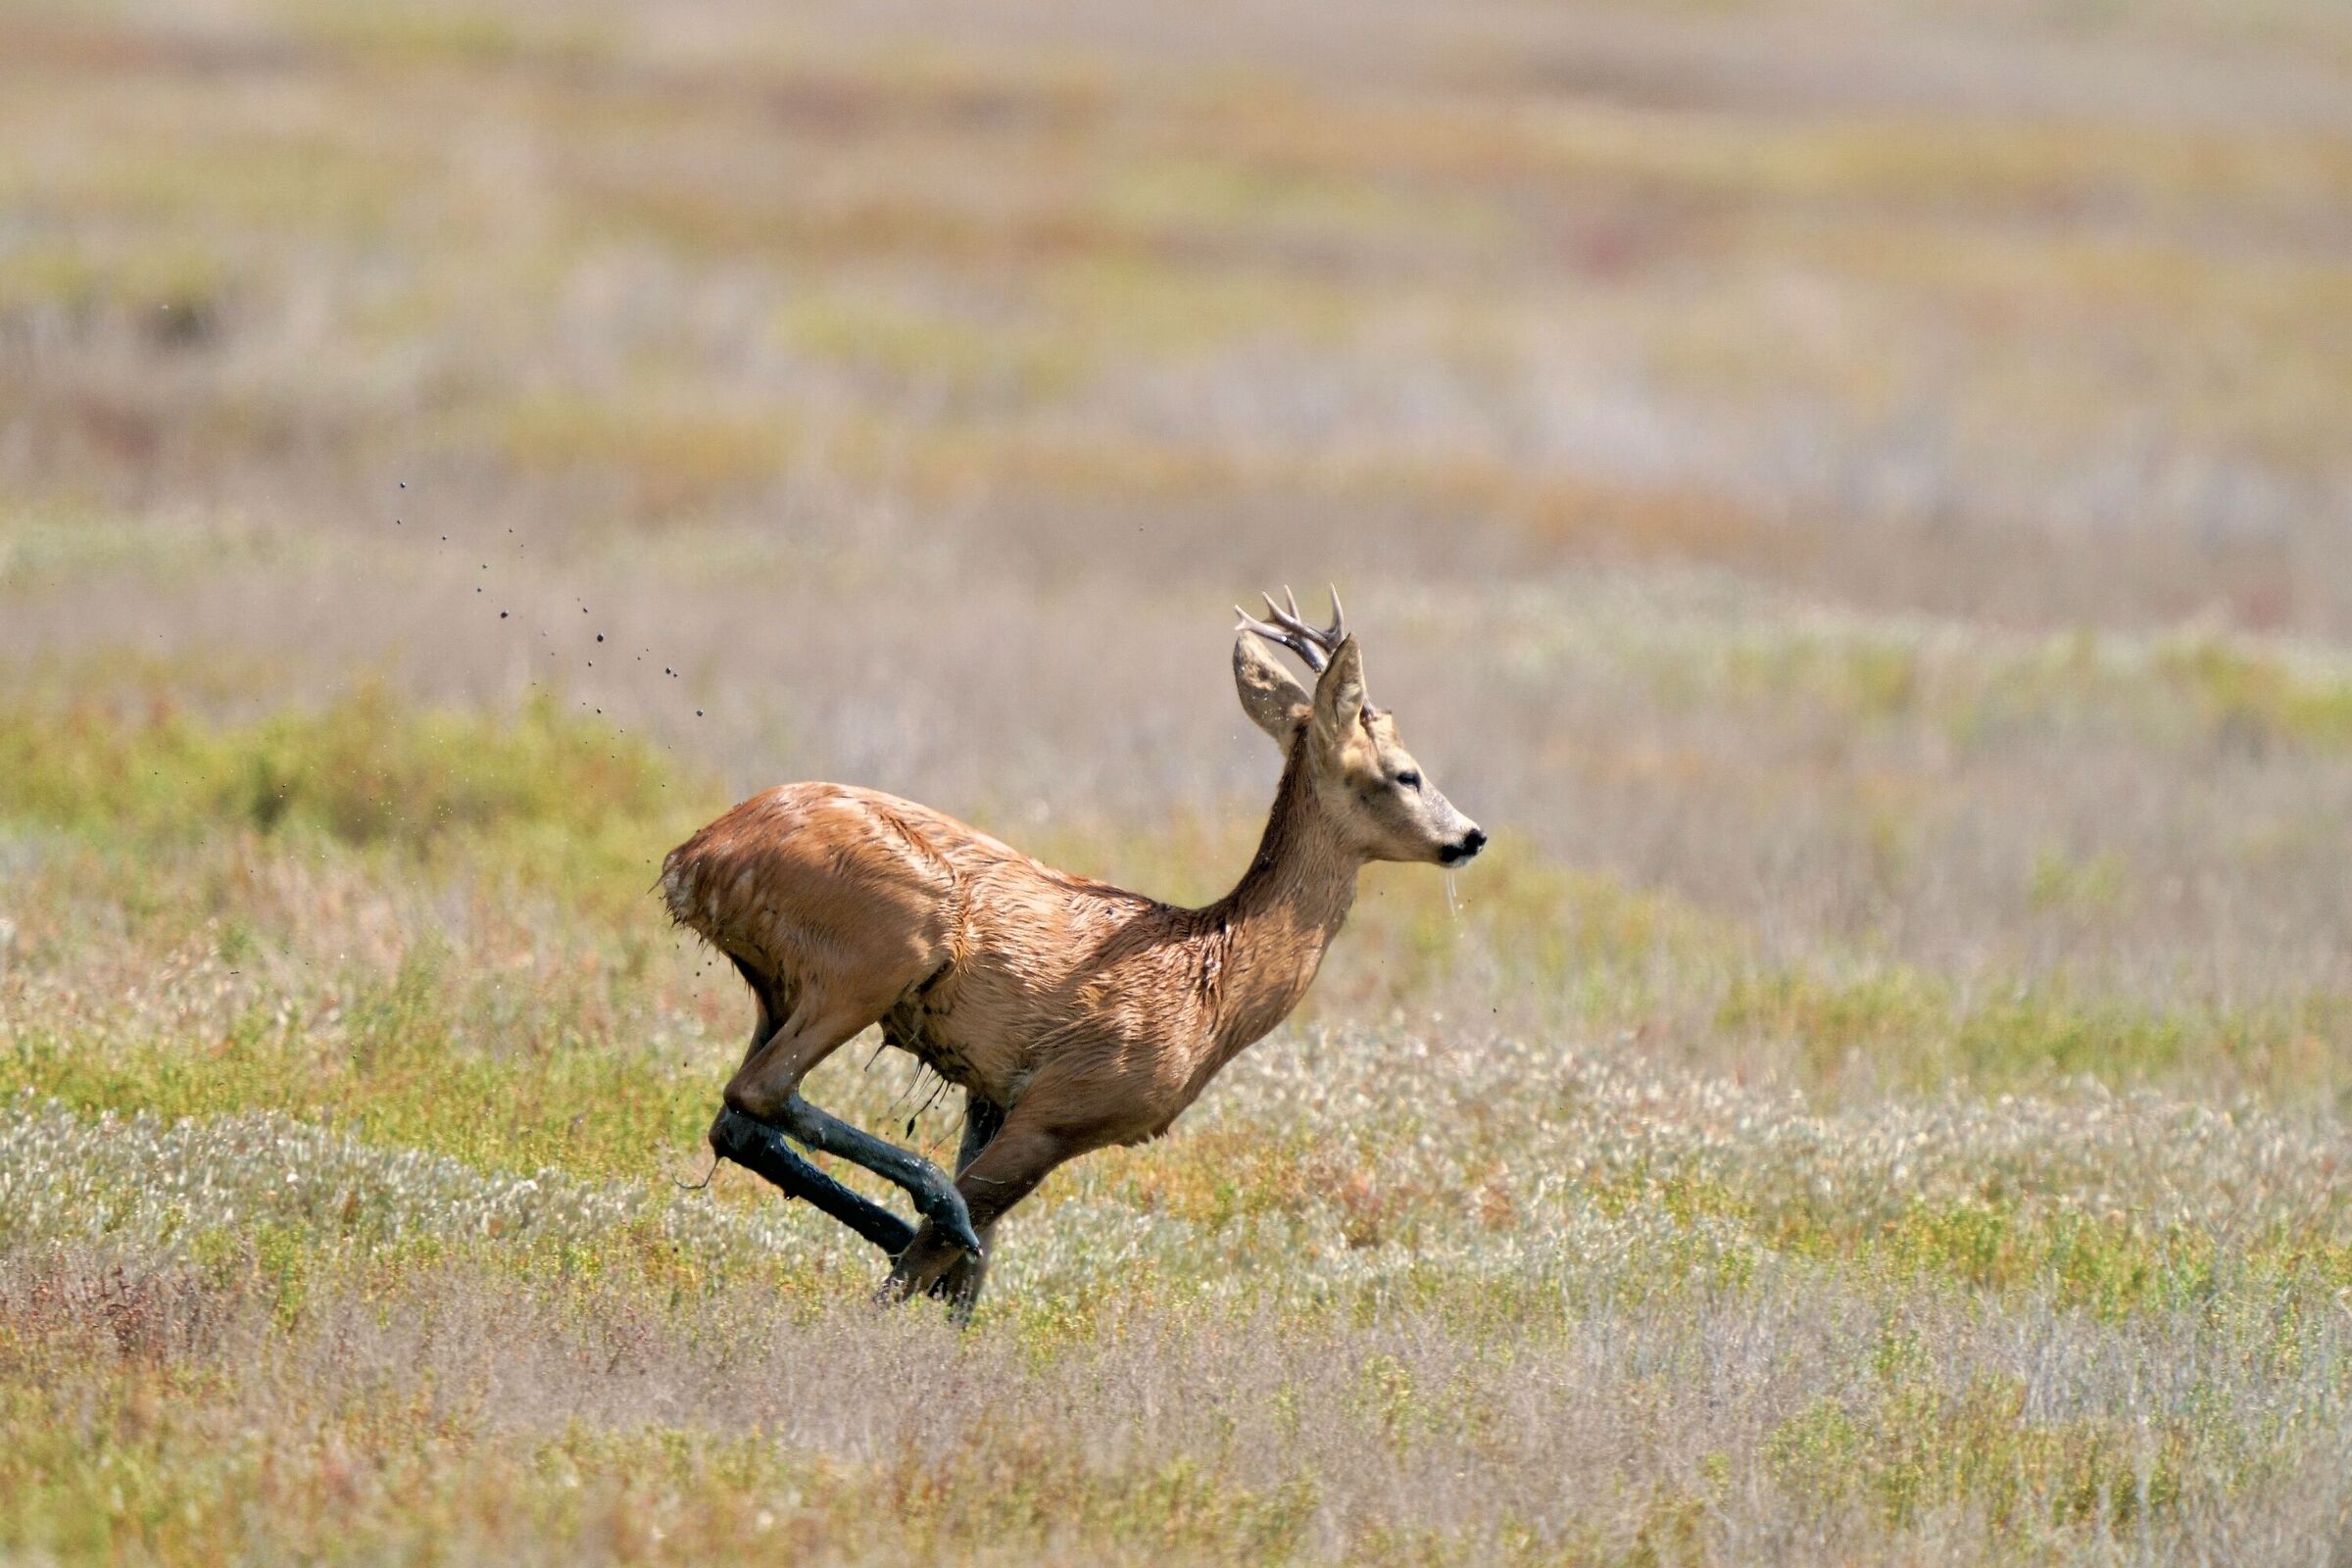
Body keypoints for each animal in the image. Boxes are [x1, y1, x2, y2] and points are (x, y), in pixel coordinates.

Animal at [660, 590, 1484, 1312]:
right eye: (1405, 773)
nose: (1471, 835)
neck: (1211, 985)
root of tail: (693, 858)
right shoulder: (1060, 1106)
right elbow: (931, 1268)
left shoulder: (989, 1094)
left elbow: (969, 1282)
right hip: (880, 952)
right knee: (764, 1094)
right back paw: (921, 1204)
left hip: (781, 984)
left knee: (739, 1119)